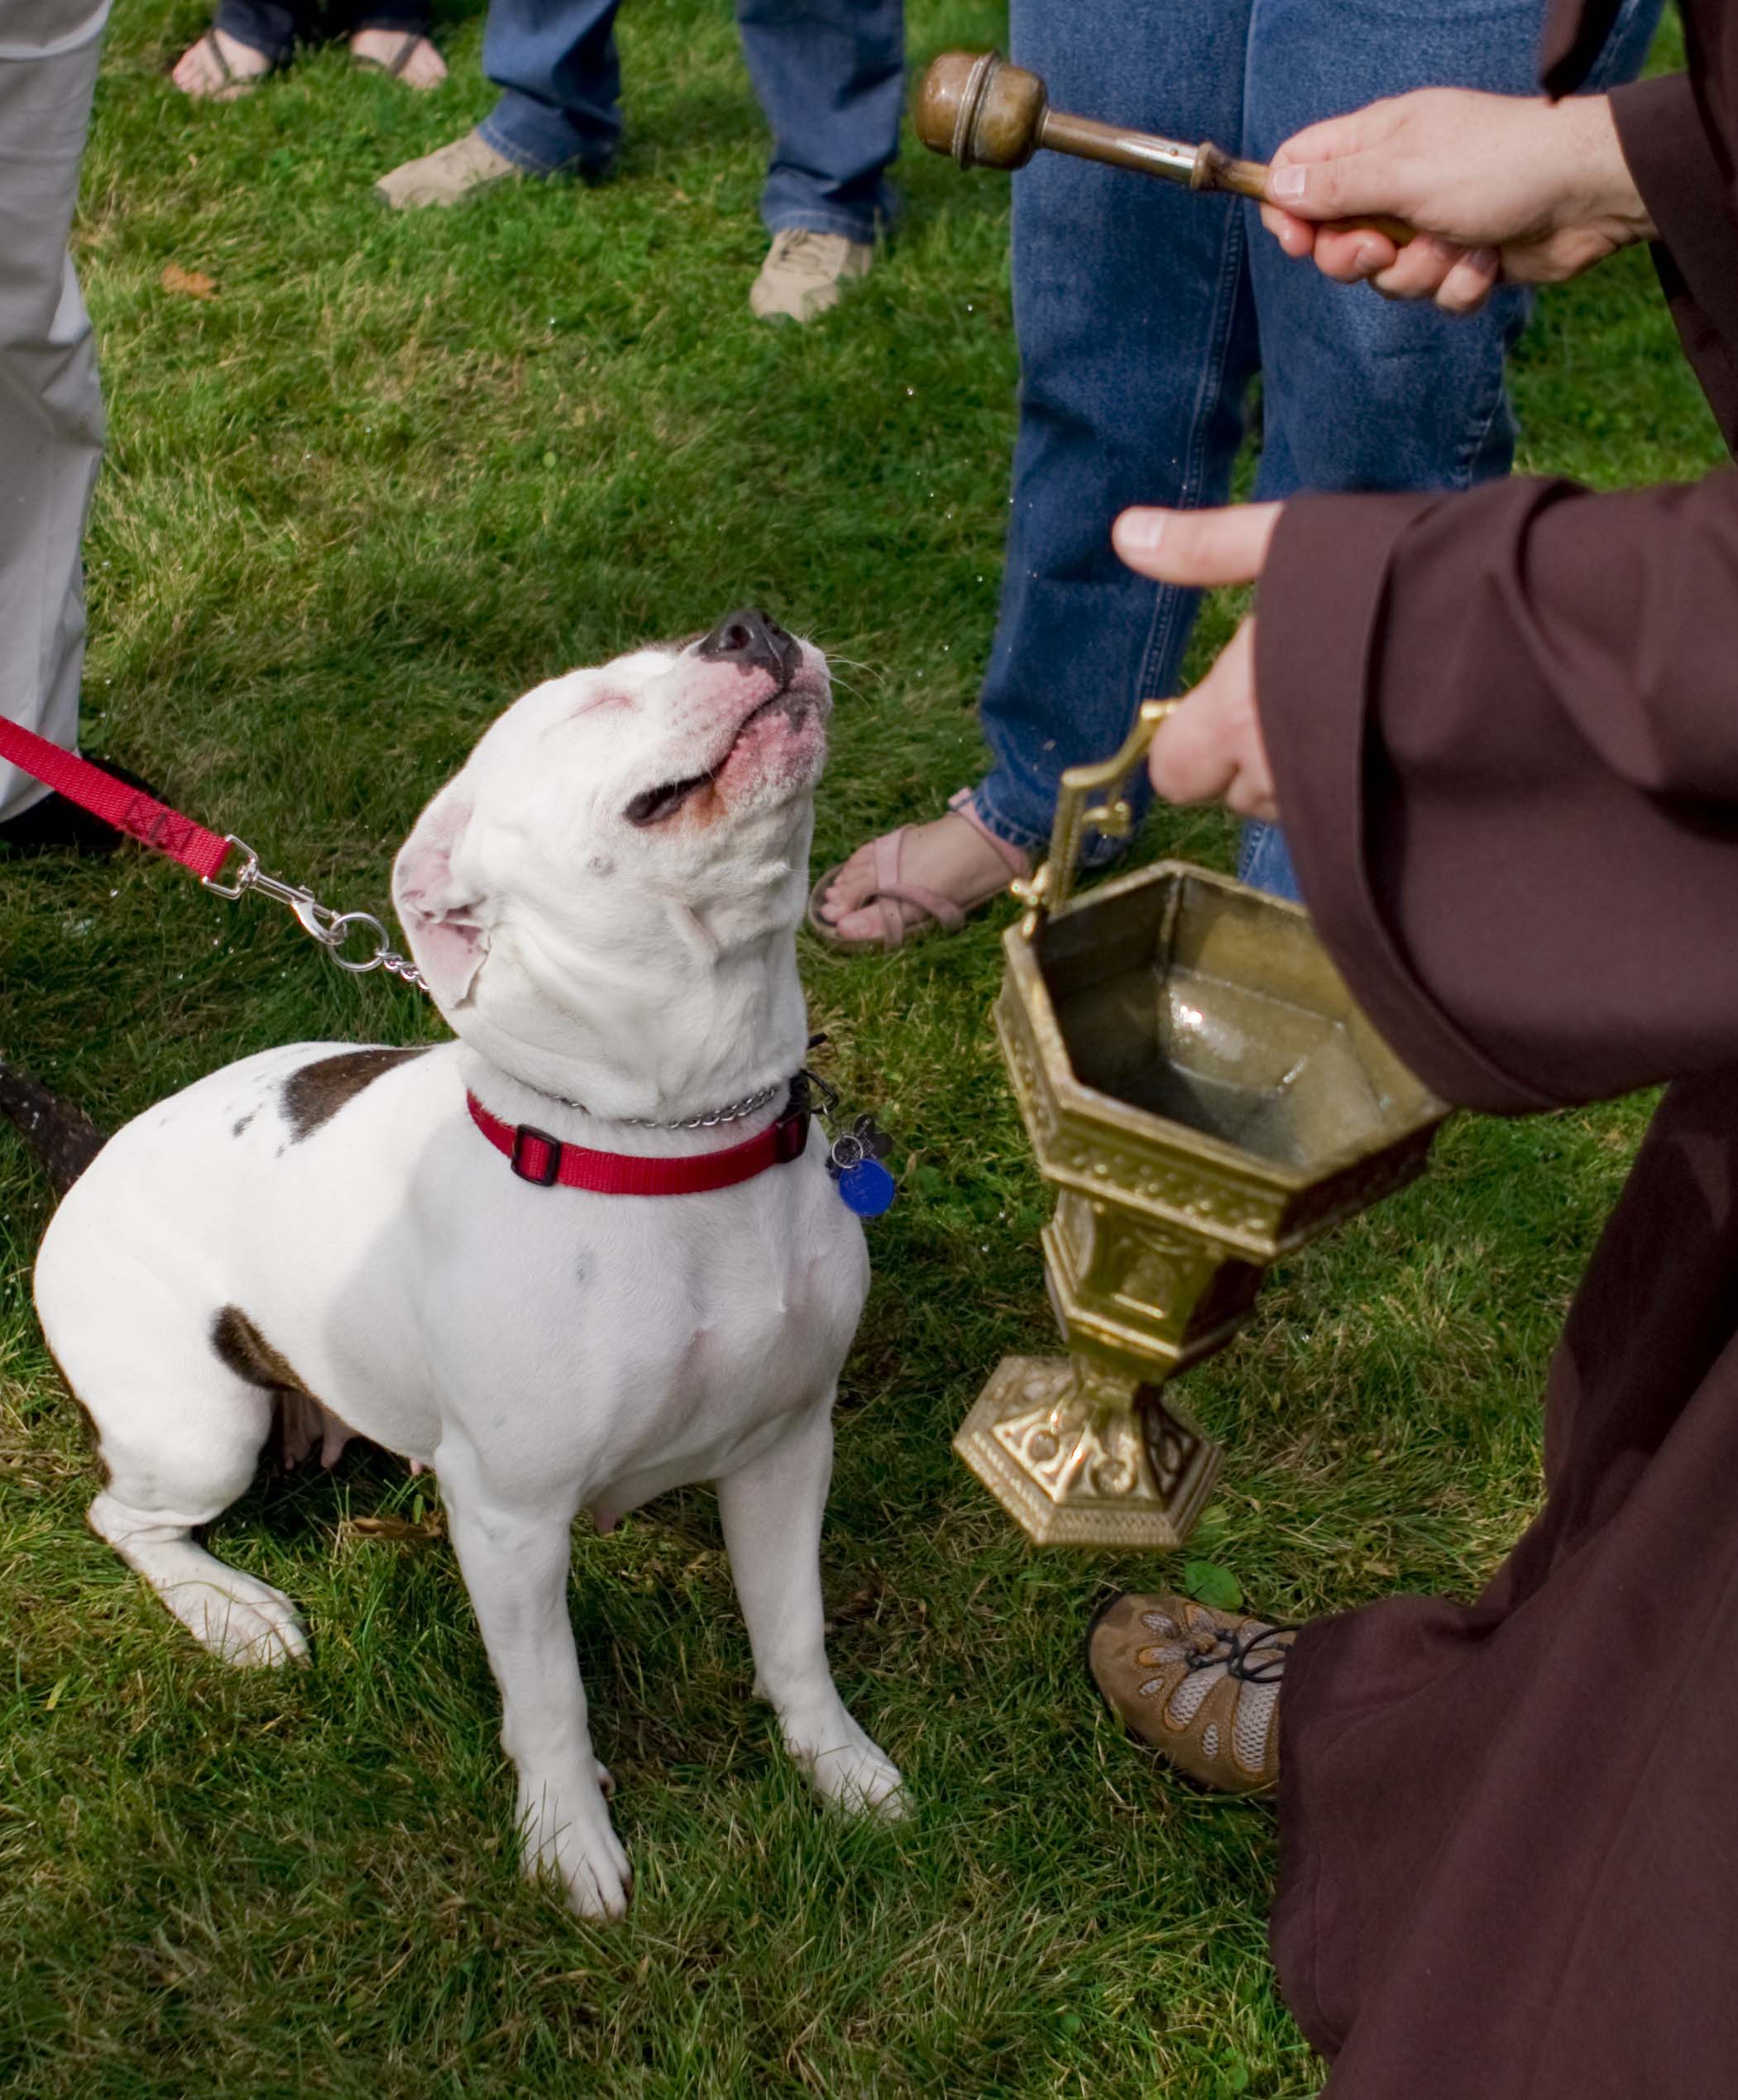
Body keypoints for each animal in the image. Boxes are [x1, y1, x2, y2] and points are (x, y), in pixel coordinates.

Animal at [20, 613, 903, 1923]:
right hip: (200, 1426)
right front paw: (567, 1838)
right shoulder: (511, 1522)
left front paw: (839, 1766)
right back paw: (232, 1611)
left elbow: (793, 1636)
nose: (748, 626)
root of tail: (89, 1161)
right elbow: (551, 1699)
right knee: (122, 1515)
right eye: (591, 702)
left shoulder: (788, 1447)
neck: (674, 1143)